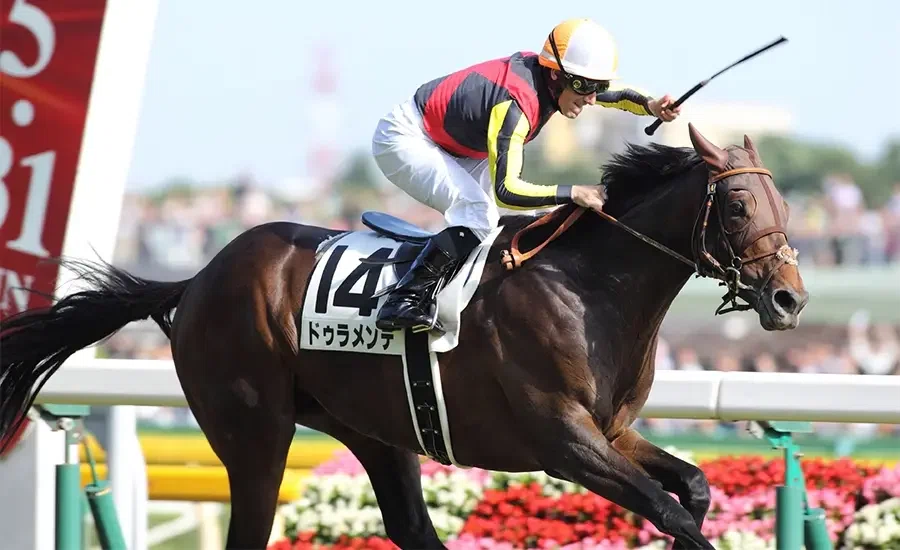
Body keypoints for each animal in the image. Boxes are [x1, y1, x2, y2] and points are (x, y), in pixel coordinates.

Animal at [0, 123, 807, 549]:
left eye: (783, 203)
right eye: (738, 205)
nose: (789, 297)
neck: (588, 288)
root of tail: (195, 281)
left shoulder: (610, 432)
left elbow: (692, 487)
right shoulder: (562, 440)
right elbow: (670, 508)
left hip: (374, 428)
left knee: (411, 526)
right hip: (254, 432)